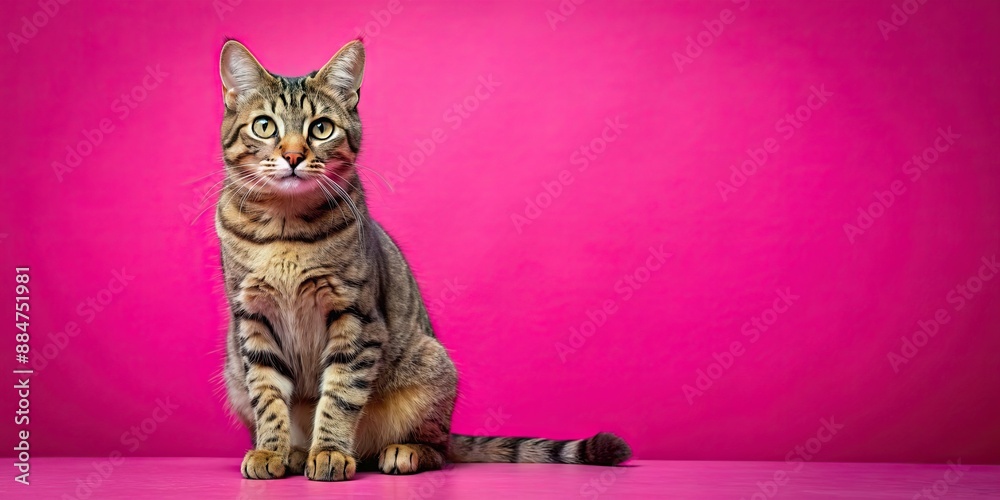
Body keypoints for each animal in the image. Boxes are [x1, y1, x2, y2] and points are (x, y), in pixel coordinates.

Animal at [217, 40, 632, 480]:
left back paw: (401, 451)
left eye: (321, 128)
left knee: (437, 449)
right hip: (233, 372)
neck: (286, 228)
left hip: (431, 368)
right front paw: (270, 451)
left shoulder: (356, 317)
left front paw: (329, 451)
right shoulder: (253, 321)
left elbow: (340, 394)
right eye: (265, 126)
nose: (294, 155)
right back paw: (296, 452)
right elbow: (267, 395)